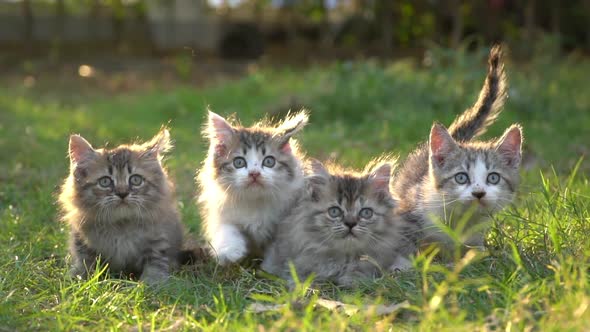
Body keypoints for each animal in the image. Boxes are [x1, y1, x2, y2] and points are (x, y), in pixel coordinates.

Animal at [59, 128, 185, 284]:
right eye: (105, 182)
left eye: (136, 180)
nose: (122, 193)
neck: (121, 224)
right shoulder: (82, 238)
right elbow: (85, 260)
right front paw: (81, 277)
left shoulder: (159, 237)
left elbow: (156, 261)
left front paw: (152, 282)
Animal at [198, 110, 310, 266]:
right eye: (239, 162)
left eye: (269, 161)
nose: (254, 173)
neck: (255, 201)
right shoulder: (223, 214)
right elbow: (227, 229)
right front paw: (229, 252)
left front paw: (269, 267)